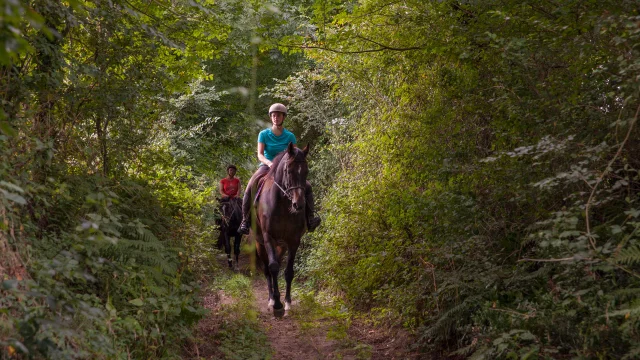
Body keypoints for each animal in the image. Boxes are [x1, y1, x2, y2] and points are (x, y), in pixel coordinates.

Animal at [250, 142, 310, 316]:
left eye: (306, 171)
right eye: (288, 171)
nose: (299, 204)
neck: (283, 205)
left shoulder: (293, 240)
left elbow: (288, 272)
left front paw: (287, 303)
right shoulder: (268, 237)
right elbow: (273, 268)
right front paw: (277, 305)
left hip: (281, 246)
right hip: (260, 243)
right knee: (267, 270)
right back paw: (270, 300)